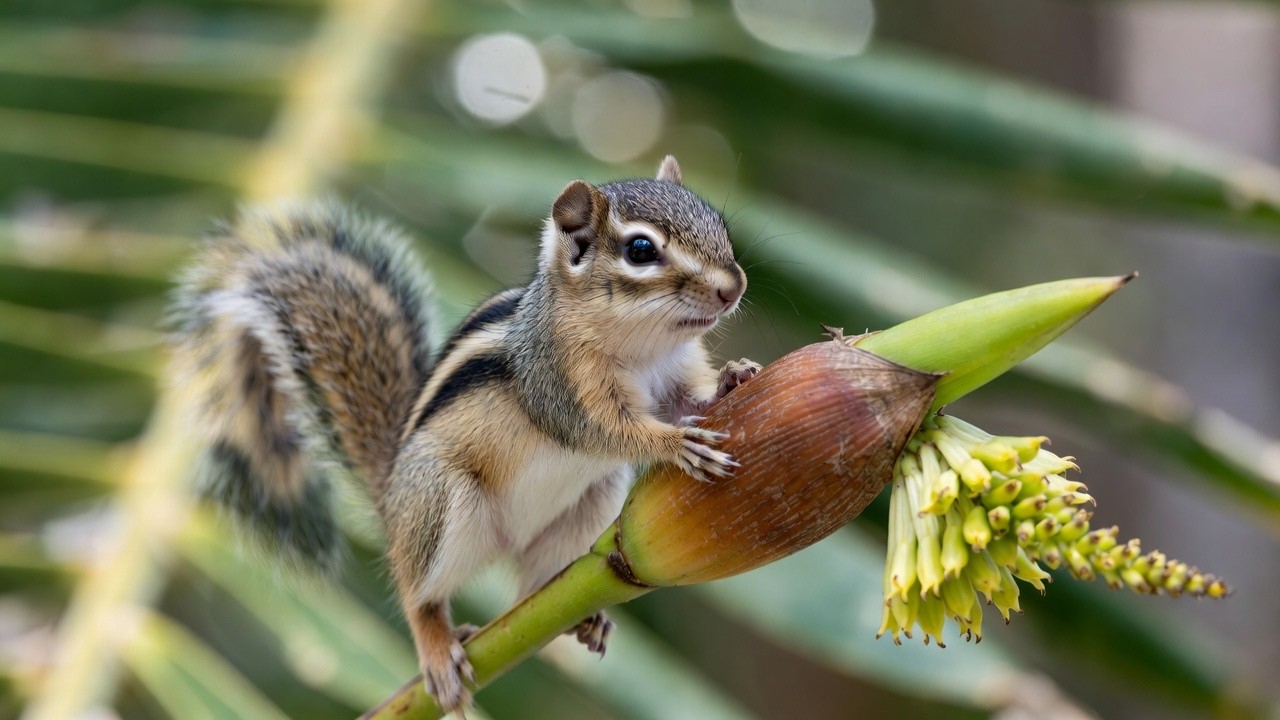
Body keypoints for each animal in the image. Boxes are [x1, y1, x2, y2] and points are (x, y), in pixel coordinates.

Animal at [172, 155, 760, 713]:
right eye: (640, 250)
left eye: (717, 223)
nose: (733, 287)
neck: (645, 346)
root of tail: (391, 497)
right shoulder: (557, 384)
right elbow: (603, 430)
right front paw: (675, 444)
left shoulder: (675, 372)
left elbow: (686, 401)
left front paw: (735, 376)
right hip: (438, 501)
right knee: (418, 594)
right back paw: (436, 647)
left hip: (587, 505)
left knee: (534, 589)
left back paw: (581, 616)